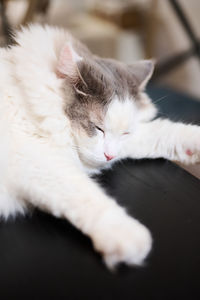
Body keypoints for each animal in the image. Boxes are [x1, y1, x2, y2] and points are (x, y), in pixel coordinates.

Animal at [0, 25, 200, 270]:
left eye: (125, 133)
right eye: (98, 128)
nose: (109, 156)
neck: (28, 102)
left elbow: (161, 132)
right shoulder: (35, 159)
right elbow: (85, 193)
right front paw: (128, 237)